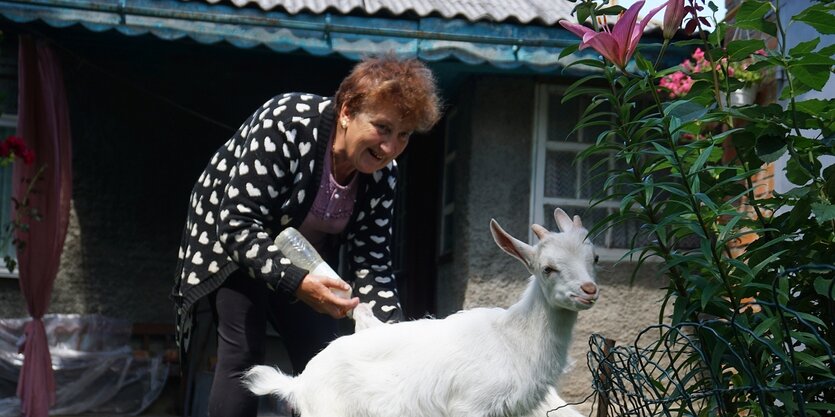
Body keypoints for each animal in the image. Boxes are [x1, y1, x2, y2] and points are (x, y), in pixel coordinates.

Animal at [245, 208, 596, 416]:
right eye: (547, 268)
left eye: (593, 259)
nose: (589, 290)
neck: (514, 339)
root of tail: (300, 382)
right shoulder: (470, 406)